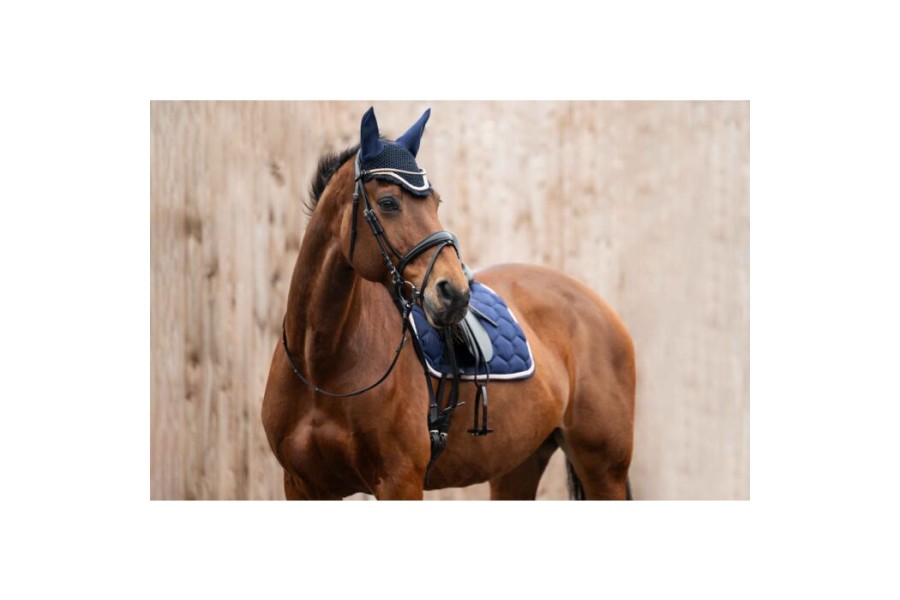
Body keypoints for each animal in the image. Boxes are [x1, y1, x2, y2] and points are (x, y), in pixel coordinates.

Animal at [262, 107, 636, 500]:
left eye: (435, 202)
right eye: (388, 203)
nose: (454, 294)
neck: (321, 367)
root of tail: (595, 304)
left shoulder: (400, 481)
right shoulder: (301, 486)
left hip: (603, 468)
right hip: (518, 465)